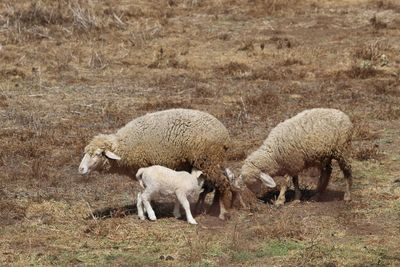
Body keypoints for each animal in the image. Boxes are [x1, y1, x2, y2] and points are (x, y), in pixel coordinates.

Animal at [78, 108, 238, 220]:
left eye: (97, 154)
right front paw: (145, 211)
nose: (81, 169)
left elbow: (144, 195)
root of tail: (224, 133)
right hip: (212, 161)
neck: (125, 146)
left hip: (208, 159)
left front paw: (147, 212)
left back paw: (223, 213)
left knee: (224, 184)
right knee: (220, 183)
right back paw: (214, 209)